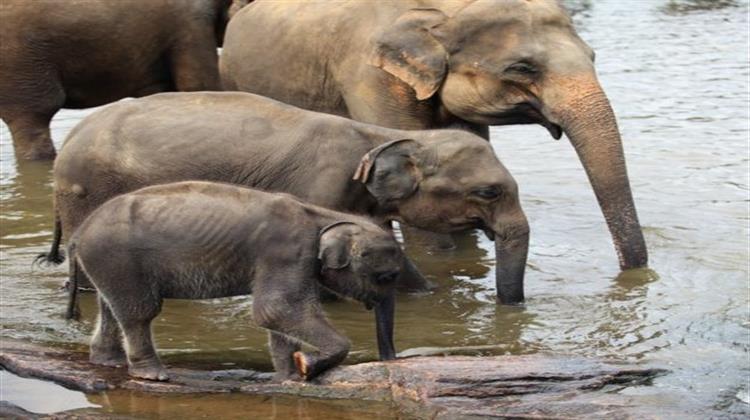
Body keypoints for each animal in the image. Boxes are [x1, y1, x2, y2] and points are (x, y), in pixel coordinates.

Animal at [41, 92, 532, 304]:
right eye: (488, 191)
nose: (513, 309)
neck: (381, 136)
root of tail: (69, 143)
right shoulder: (322, 185)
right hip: (88, 190)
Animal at [69, 180, 406, 380]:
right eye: (386, 276)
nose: (390, 361)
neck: (322, 216)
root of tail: (79, 232)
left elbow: (279, 315)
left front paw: (289, 377)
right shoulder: (286, 250)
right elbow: (275, 309)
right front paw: (306, 368)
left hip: (110, 264)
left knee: (110, 307)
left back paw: (108, 362)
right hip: (118, 259)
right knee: (140, 312)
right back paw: (153, 374)